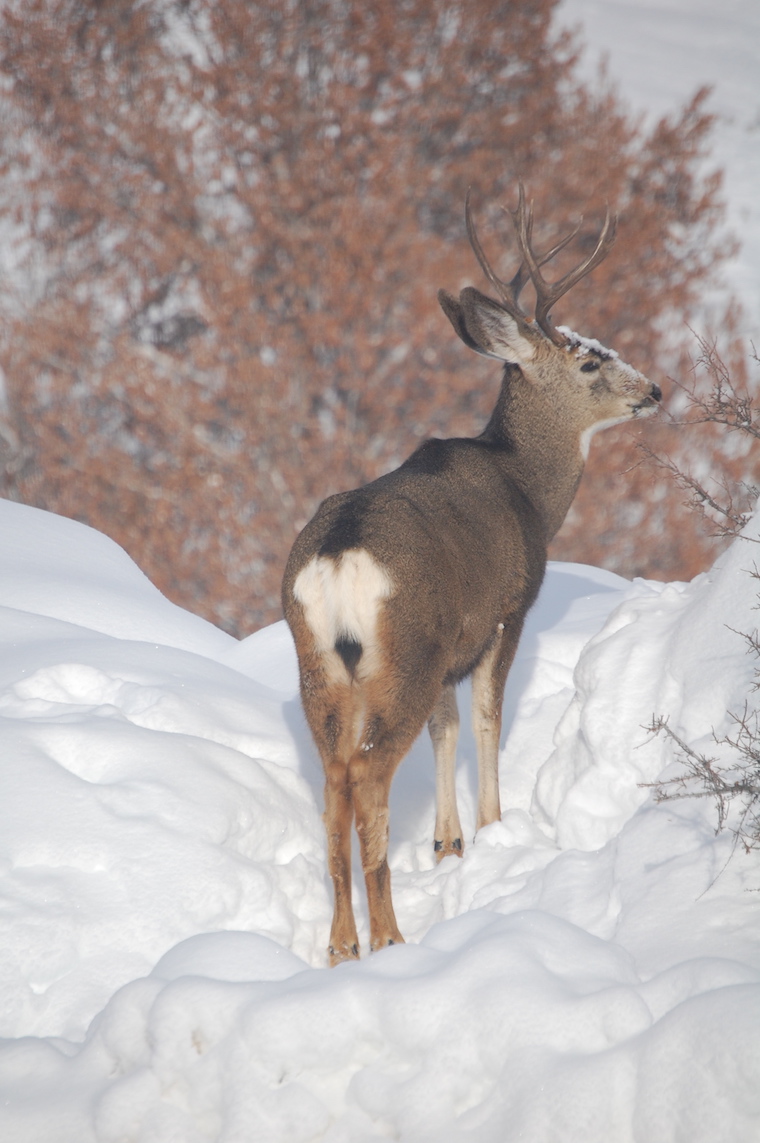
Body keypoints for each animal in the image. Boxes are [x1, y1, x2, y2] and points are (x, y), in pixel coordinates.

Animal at [282, 184, 661, 964]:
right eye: (589, 361)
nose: (656, 390)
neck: (527, 488)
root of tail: (339, 559)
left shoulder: (451, 641)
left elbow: (446, 729)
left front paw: (448, 844)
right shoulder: (504, 611)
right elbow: (486, 717)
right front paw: (491, 828)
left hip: (323, 666)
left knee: (335, 785)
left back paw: (342, 946)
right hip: (402, 654)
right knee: (366, 777)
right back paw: (389, 935)